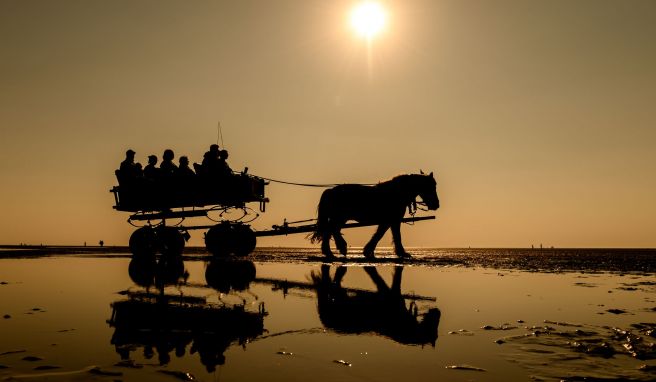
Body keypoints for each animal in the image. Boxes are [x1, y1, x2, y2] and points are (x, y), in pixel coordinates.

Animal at [308, 174, 440, 260]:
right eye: (430, 187)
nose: (436, 204)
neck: (396, 193)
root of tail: (330, 191)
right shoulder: (392, 220)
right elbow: (388, 236)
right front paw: (401, 253)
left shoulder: (390, 221)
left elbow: (386, 235)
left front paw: (369, 251)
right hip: (340, 217)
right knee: (332, 230)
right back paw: (340, 248)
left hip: (340, 218)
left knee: (330, 231)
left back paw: (330, 252)